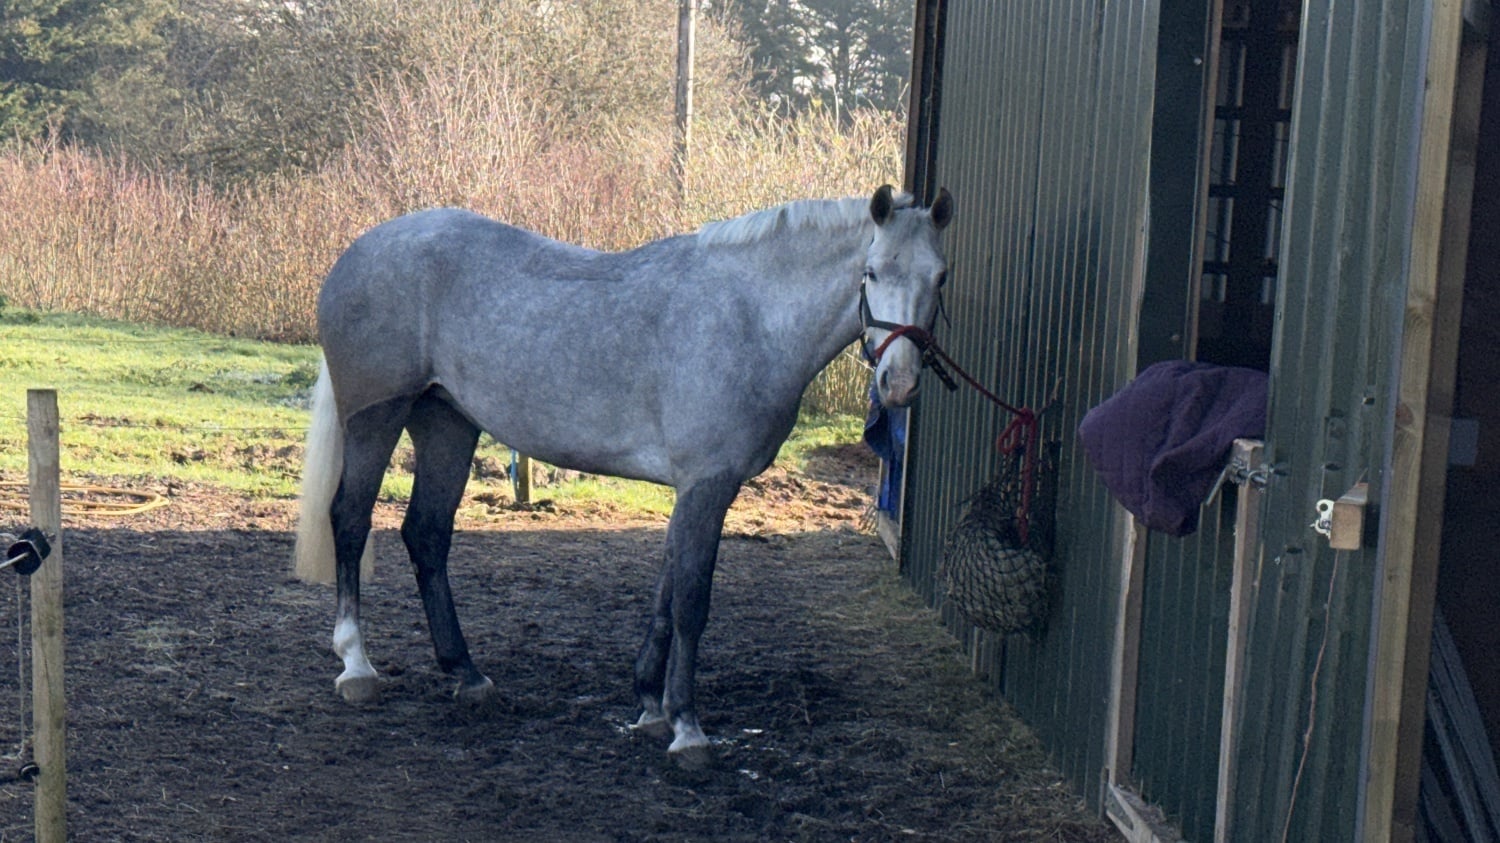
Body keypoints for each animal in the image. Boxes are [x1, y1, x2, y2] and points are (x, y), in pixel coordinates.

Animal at [293, 184, 953, 767]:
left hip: (447, 424)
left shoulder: (693, 489)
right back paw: (356, 667)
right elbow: (691, 601)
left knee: (426, 535)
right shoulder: (709, 483)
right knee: (350, 522)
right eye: (872, 271)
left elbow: (666, 591)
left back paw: (468, 675)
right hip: (377, 417)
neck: (748, 316)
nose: (899, 384)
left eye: (940, 277)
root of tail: (360, 250)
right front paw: (687, 730)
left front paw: (650, 707)